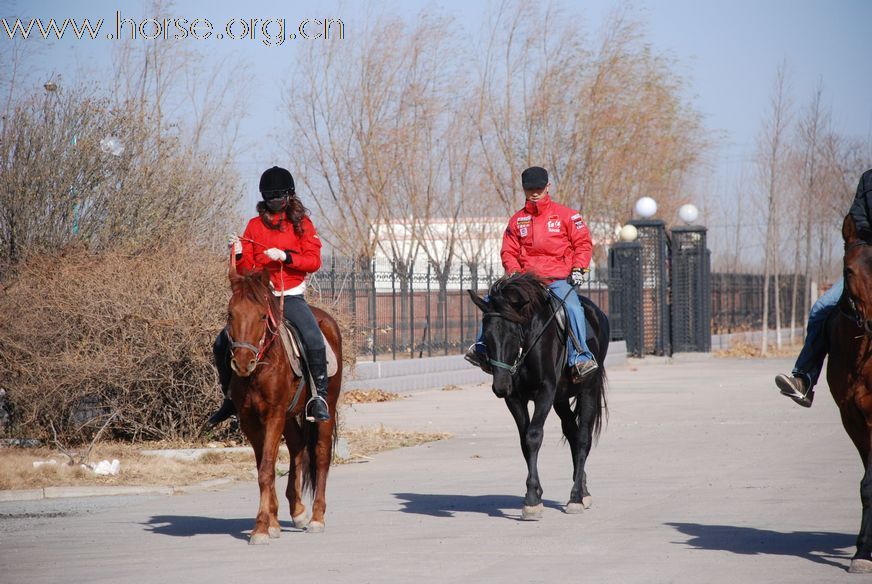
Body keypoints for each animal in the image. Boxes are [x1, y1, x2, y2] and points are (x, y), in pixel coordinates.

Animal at [225, 266, 340, 544]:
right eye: (230, 314)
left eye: (262, 316)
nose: (242, 363)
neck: (261, 368)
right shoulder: (250, 421)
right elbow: (263, 468)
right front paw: (272, 523)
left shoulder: (274, 415)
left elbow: (267, 468)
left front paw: (261, 528)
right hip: (289, 416)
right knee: (298, 446)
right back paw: (297, 510)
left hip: (326, 410)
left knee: (321, 455)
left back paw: (317, 517)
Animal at [466, 272, 608, 516]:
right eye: (487, 335)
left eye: (514, 334)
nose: (500, 386)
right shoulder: (514, 398)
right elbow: (525, 441)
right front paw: (534, 494)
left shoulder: (545, 392)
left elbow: (533, 436)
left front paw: (532, 499)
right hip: (561, 399)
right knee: (572, 433)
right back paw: (583, 489)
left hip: (588, 390)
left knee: (582, 439)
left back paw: (576, 497)